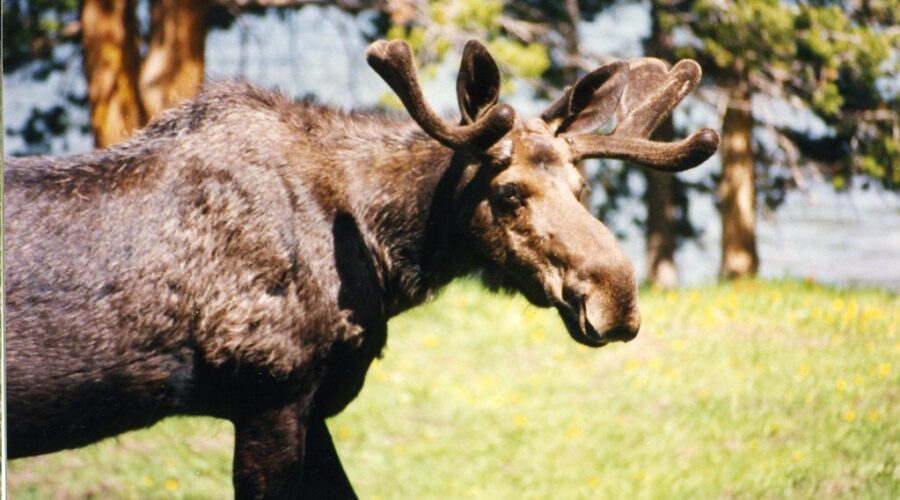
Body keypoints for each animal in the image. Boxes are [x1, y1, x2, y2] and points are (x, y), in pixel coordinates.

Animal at [4, 39, 718, 498]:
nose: (617, 299)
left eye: (582, 188)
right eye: (509, 192)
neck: (382, 255)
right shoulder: (269, 392)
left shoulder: (311, 404)